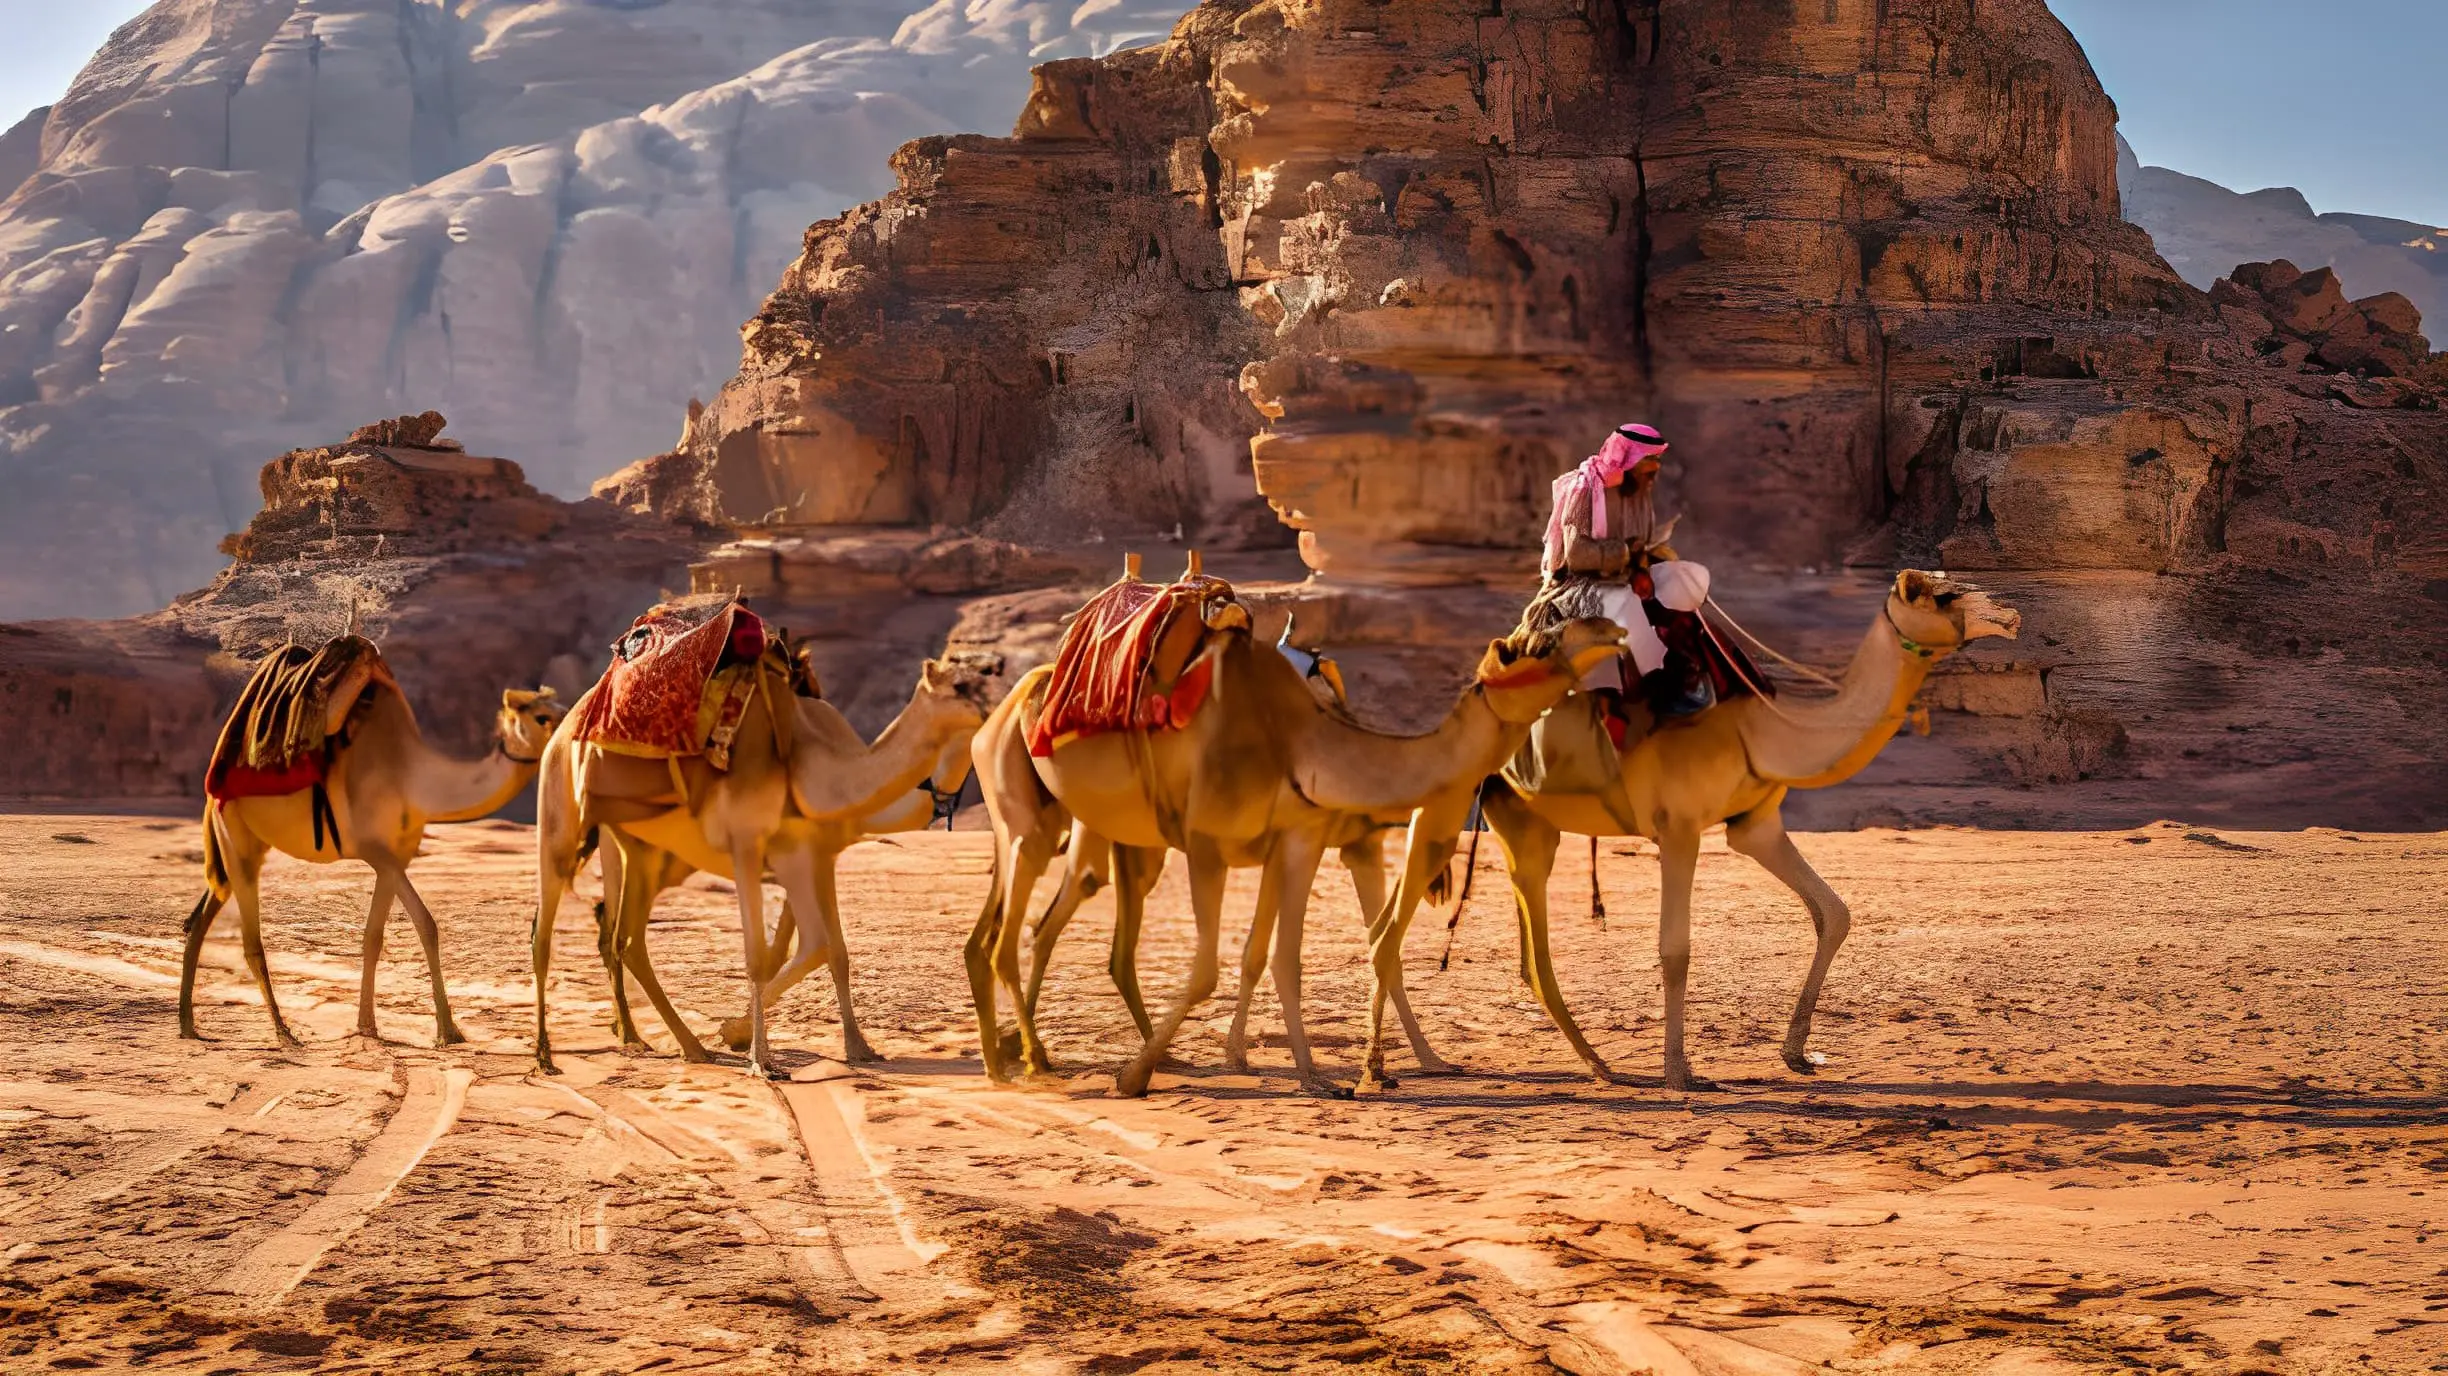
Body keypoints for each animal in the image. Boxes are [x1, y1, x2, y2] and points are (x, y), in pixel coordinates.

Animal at [178, 680, 565, 1048]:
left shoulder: (395, 858)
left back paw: (188, 1024)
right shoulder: (377, 851)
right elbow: (417, 925)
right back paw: (283, 1032)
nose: (568, 735)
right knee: (249, 937)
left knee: (201, 917)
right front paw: (442, 1030)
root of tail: (212, 792)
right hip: (235, 834)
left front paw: (376, 1025)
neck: (415, 781)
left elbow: (384, 934)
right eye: (541, 717)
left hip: (244, 845)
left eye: (561, 708)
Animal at [530, 655, 990, 1077]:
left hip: (643, 851)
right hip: (562, 818)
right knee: (549, 932)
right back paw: (547, 1057)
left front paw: (859, 1048)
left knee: (625, 938)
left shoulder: (817, 857)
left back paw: (680, 1044)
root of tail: (566, 728)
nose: (992, 709)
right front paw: (756, 1056)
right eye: (960, 686)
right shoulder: (758, 848)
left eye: (988, 672)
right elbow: (775, 952)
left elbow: (831, 950)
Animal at [968, 568, 1622, 1097]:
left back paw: (1043, 1054)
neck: (1309, 739)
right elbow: (1213, 968)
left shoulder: (1299, 840)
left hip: (1124, 840)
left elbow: (1280, 956)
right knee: (1019, 923)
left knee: (1061, 932)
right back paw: (1023, 1062)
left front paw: (1314, 1073)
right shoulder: (1210, 844)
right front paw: (1132, 1078)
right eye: (1535, 642)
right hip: (1028, 812)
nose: (1610, 626)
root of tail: (1009, 703)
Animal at [1362, 569, 2021, 1092]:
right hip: (1450, 806)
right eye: (1941, 594)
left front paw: (1797, 1054)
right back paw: (1404, 1066)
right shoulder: (1679, 827)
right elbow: (1675, 948)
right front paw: (1680, 1072)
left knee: (1493, 942)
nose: (2011, 613)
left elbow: (1834, 912)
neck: (1763, 733)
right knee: (1397, 930)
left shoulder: (1755, 825)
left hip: (1523, 823)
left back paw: (1565, 1064)